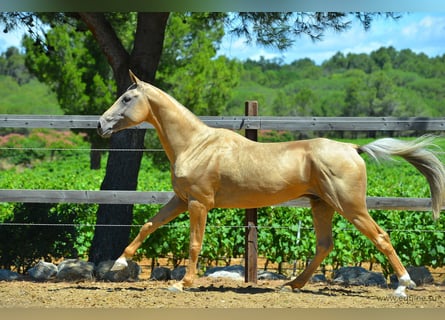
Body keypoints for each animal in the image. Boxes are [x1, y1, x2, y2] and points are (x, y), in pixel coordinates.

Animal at [98, 70, 444, 298]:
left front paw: (181, 283)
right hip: (322, 204)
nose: (101, 124)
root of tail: (352, 148)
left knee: (380, 237)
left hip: (351, 206)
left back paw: (403, 285)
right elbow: (148, 225)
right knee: (325, 245)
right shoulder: (181, 199)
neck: (196, 145)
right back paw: (291, 285)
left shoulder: (198, 203)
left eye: (127, 98)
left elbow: (194, 243)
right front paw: (118, 264)